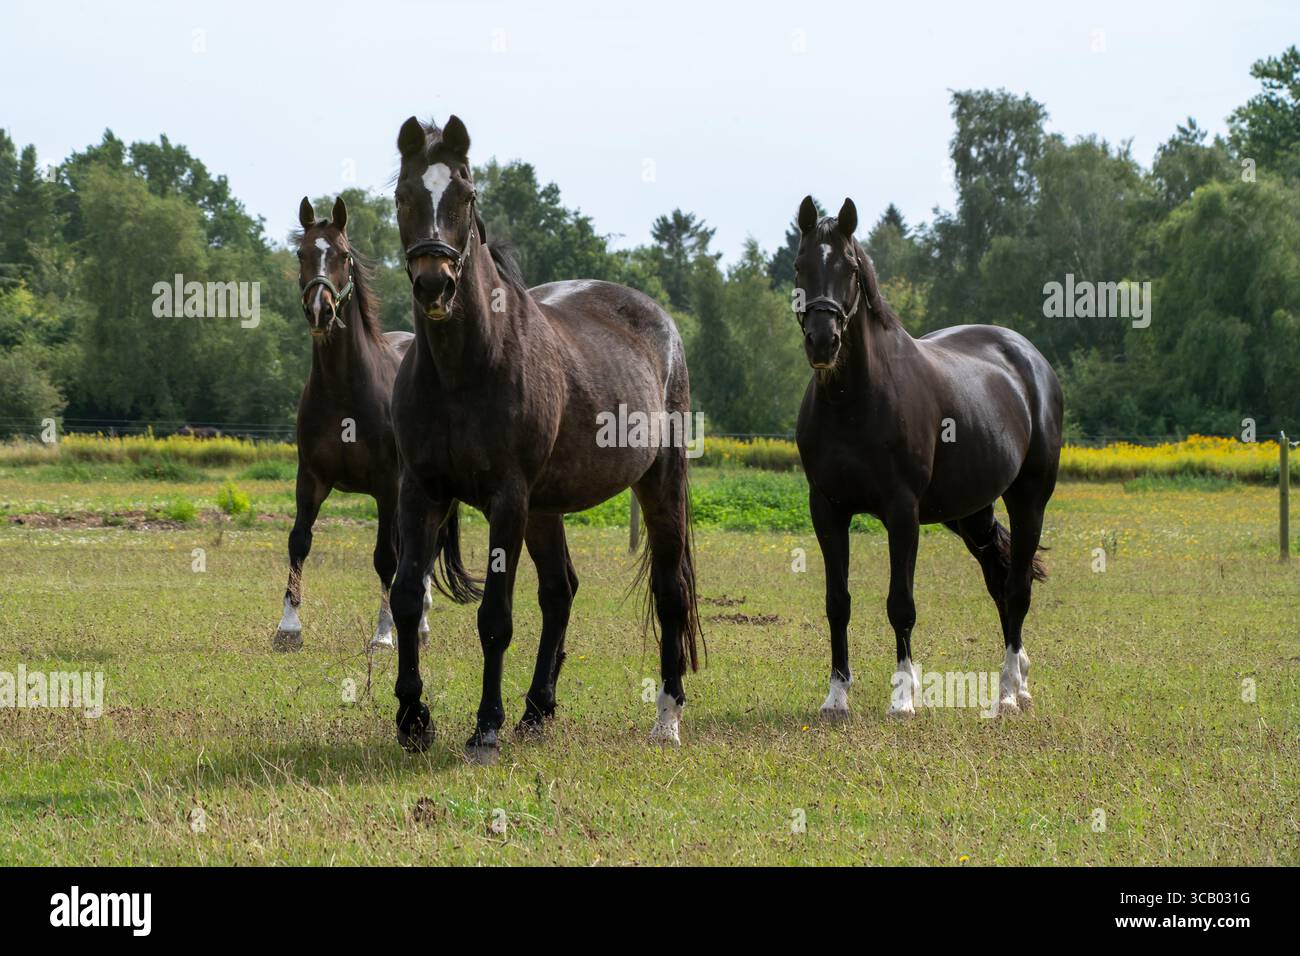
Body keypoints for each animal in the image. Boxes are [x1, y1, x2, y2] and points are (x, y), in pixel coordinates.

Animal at [273, 195, 475, 652]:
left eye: (343, 255)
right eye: (302, 254)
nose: (320, 310)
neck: (344, 392)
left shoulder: (387, 485)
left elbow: (386, 557)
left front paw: (384, 634)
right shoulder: (310, 480)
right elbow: (299, 543)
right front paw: (288, 628)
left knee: (425, 548)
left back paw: (419, 623)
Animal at [386, 115, 702, 760]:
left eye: (465, 195)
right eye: (403, 195)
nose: (435, 285)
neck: (464, 367)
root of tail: (659, 322)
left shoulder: (507, 498)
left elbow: (495, 617)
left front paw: (485, 728)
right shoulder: (421, 489)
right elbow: (406, 597)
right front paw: (412, 718)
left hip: (658, 484)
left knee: (669, 592)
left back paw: (666, 719)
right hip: (545, 510)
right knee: (561, 591)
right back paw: (536, 709)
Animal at [792, 196, 1062, 719]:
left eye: (850, 267)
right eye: (799, 265)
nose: (823, 341)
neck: (854, 401)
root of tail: (1030, 359)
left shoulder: (903, 512)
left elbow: (901, 603)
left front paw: (903, 697)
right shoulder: (827, 509)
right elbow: (838, 602)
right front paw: (836, 696)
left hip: (1029, 501)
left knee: (1017, 589)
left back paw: (1008, 691)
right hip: (971, 512)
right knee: (999, 583)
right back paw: (1019, 679)